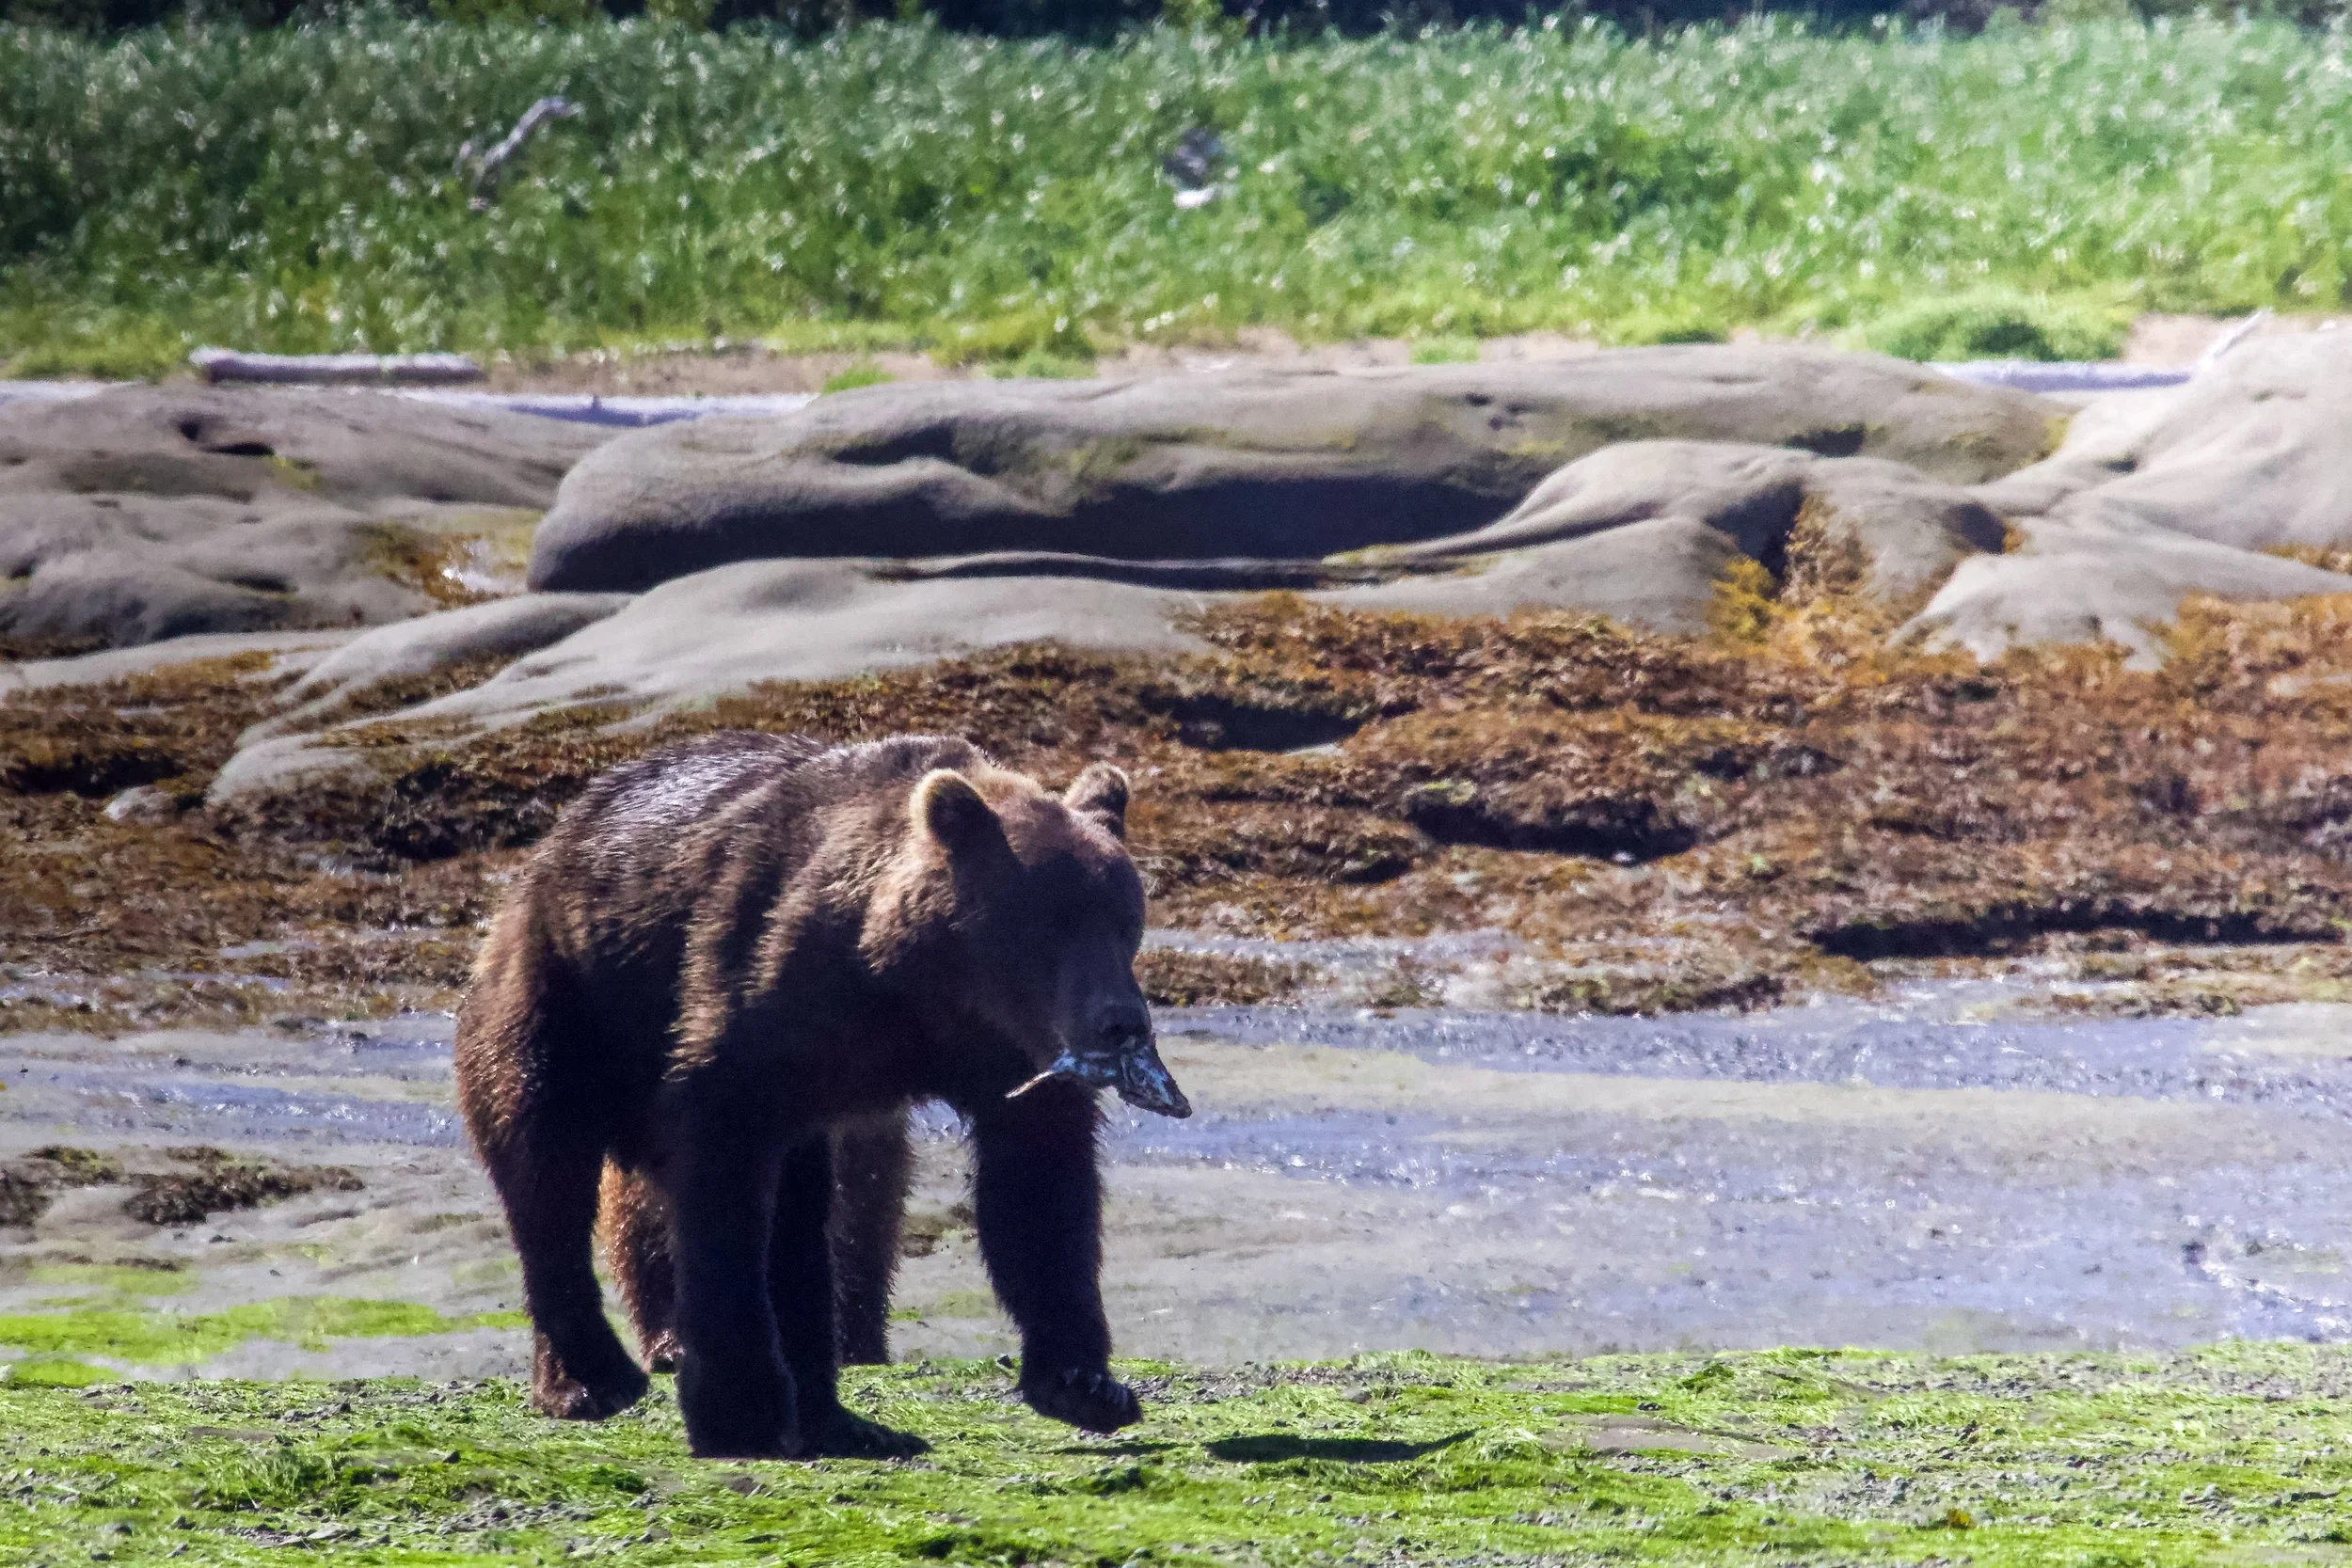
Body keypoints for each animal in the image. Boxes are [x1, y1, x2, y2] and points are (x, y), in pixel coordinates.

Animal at [453, 731, 1192, 1460]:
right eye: (1051, 922)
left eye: (1126, 921)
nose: (1121, 1021)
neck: (921, 987)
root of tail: (550, 849)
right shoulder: (765, 1000)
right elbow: (722, 1176)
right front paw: (738, 1409)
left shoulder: (1002, 1054)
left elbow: (1039, 1189)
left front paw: (1085, 1382)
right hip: (565, 997)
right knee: (546, 1161)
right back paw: (591, 1380)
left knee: (803, 1215)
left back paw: (838, 1418)